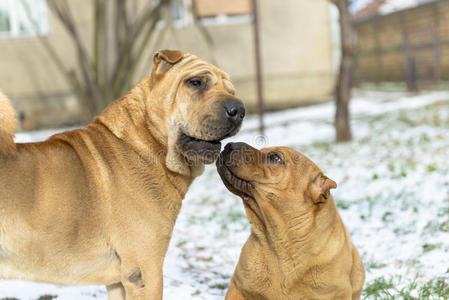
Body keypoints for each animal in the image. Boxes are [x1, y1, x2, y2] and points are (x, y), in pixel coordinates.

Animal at [0, 50, 245, 298]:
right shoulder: (146, 272)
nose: (238, 110)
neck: (146, 144)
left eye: (231, 91)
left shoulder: (119, 281)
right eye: (195, 82)